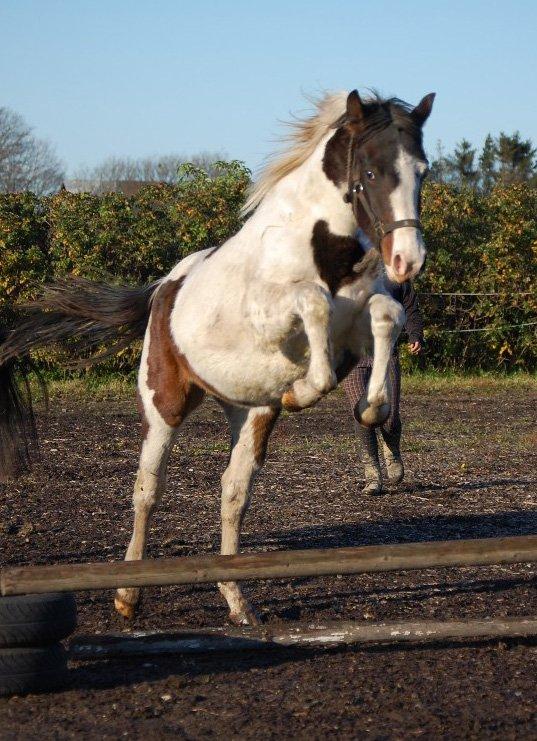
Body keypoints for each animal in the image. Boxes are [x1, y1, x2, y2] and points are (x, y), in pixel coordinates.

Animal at [0, 91, 434, 624]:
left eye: (423, 171)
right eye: (371, 172)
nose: (407, 260)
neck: (321, 249)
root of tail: (162, 289)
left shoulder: (356, 329)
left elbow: (386, 316)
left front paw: (366, 406)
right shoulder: (273, 312)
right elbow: (312, 303)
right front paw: (303, 390)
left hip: (249, 413)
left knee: (232, 493)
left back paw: (237, 599)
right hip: (164, 407)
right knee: (147, 490)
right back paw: (127, 594)